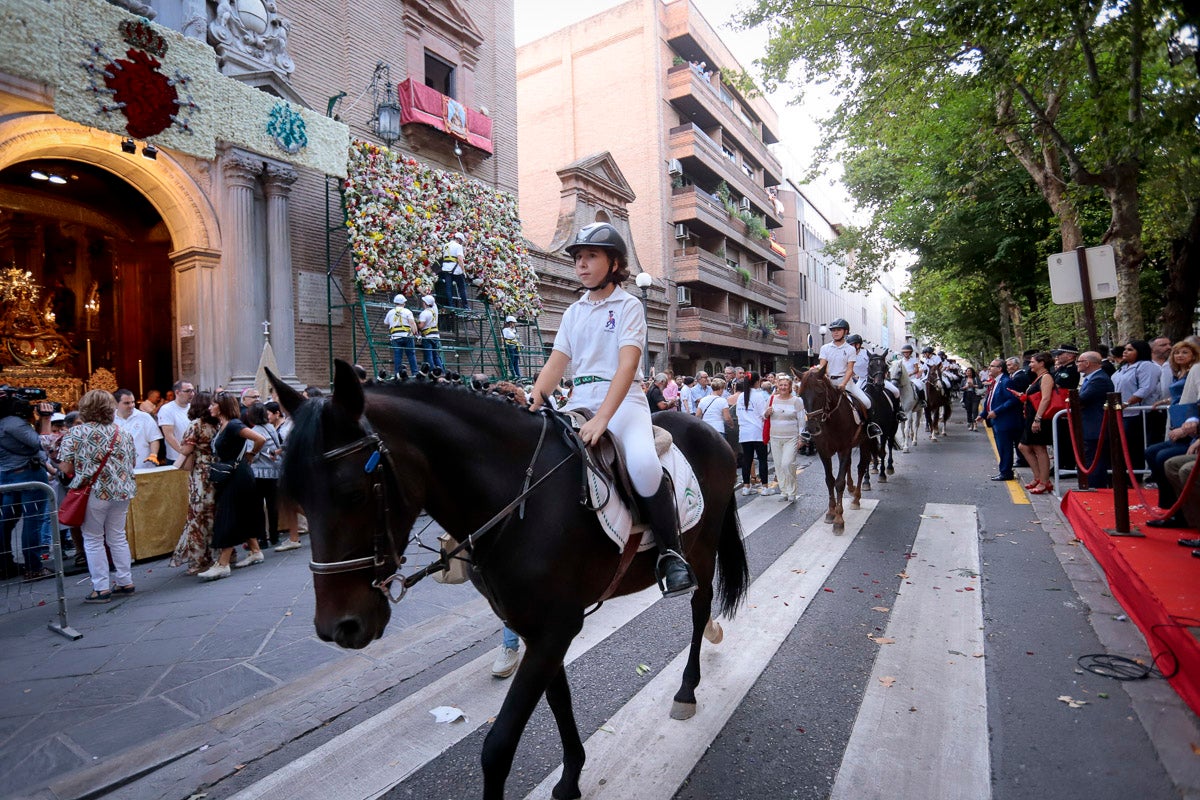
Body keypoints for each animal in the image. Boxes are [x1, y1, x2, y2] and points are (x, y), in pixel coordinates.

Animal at [267, 364, 744, 800]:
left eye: (353, 492)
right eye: (295, 493)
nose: (339, 627)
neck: (520, 498)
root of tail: (710, 428)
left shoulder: (555, 629)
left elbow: (497, 749)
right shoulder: (540, 629)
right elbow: (559, 702)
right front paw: (571, 778)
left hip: (702, 551)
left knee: (699, 609)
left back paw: (687, 689)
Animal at [796, 367, 864, 532]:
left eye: (820, 392)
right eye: (800, 395)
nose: (811, 428)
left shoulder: (845, 449)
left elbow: (839, 482)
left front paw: (839, 519)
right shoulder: (824, 452)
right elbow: (829, 480)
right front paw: (831, 512)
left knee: (862, 467)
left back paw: (856, 498)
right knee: (850, 466)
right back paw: (852, 488)